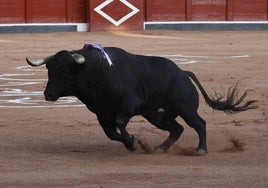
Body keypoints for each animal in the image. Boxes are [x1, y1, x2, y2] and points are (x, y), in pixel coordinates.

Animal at [26, 46, 256, 156]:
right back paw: (161, 148)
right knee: (177, 129)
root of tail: (183, 73)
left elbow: (120, 124)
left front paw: (134, 141)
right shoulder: (102, 114)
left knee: (199, 124)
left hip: (186, 108)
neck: (96, 72)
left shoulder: (129, 105)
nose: (48, 94)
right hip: (157, 115)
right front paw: (134, 143)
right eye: (49, 70)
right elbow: (112, 134)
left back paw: (201, 150)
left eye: (65, 72)